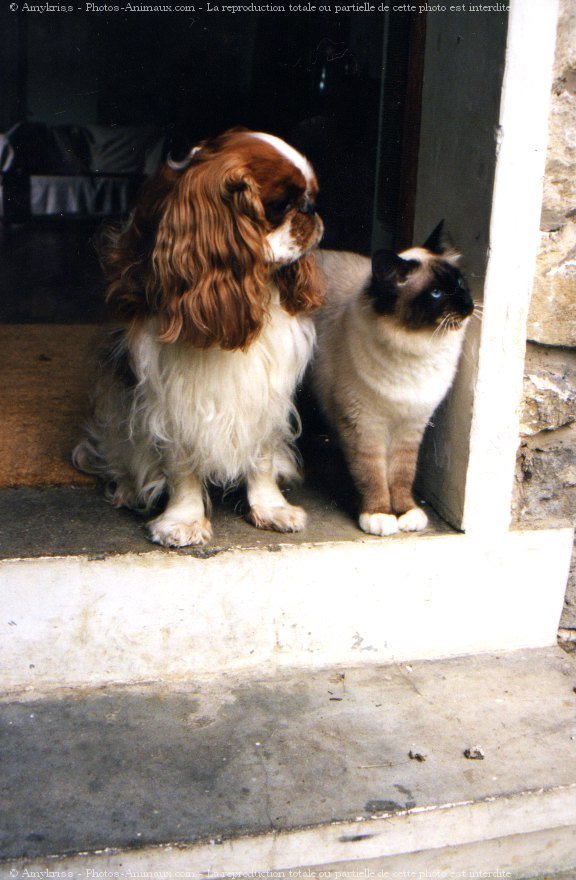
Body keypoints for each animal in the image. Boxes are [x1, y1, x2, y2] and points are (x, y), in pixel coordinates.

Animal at [312, 222, 474, 536]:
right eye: (436, 294)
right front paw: (380, 515)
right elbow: (372, 473)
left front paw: (406, 513)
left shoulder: (411, 424)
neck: (417, 347)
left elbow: (401, 474)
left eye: (459, 284)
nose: (468, 306)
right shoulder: (364, 424)